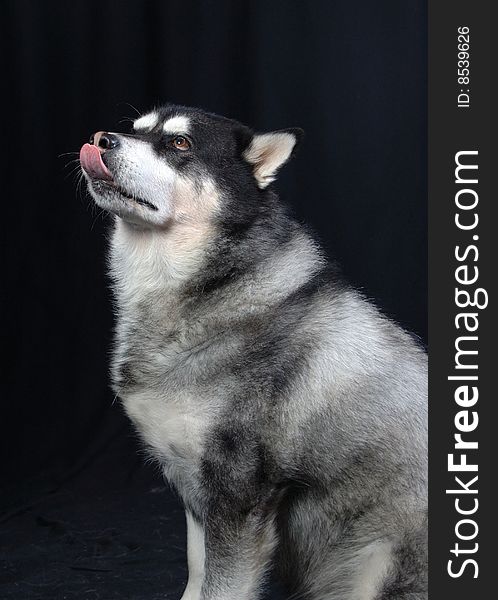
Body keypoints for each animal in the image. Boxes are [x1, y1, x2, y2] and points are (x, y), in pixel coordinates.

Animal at [80, 104, 426, 600]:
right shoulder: (197, 489)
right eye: (135, 129)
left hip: (382, 557)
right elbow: (198, 569)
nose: (100, 139)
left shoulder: (239, 496)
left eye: (179, 143)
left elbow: (223, 586)